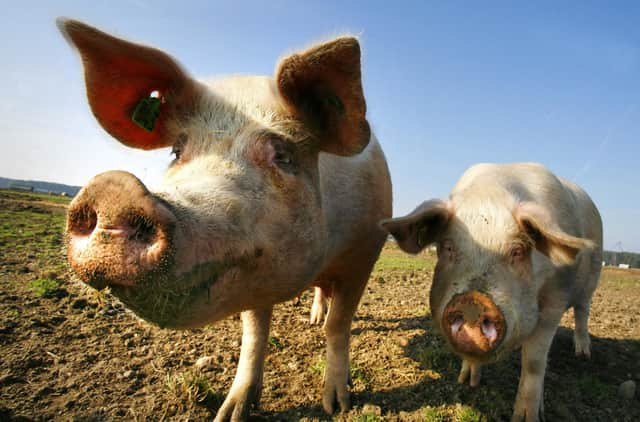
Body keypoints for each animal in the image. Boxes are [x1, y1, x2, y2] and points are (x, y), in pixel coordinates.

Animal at [58, 18, 390, 420]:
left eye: (283, 155)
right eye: (176, 150)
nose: (114, 190)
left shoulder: (366, 250)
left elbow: (339, 325)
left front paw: (337, 405)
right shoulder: (252, 273)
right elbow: (255, 334)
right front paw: (229, 413)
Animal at [382, 162, 604, 422]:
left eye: (517, 251)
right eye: (448, 247)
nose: (472, 303)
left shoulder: (555, 299)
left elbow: (534, 361)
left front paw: (527, 417)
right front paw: (467, 382)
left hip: (592, 280)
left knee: (582, 312)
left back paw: (583, 354)